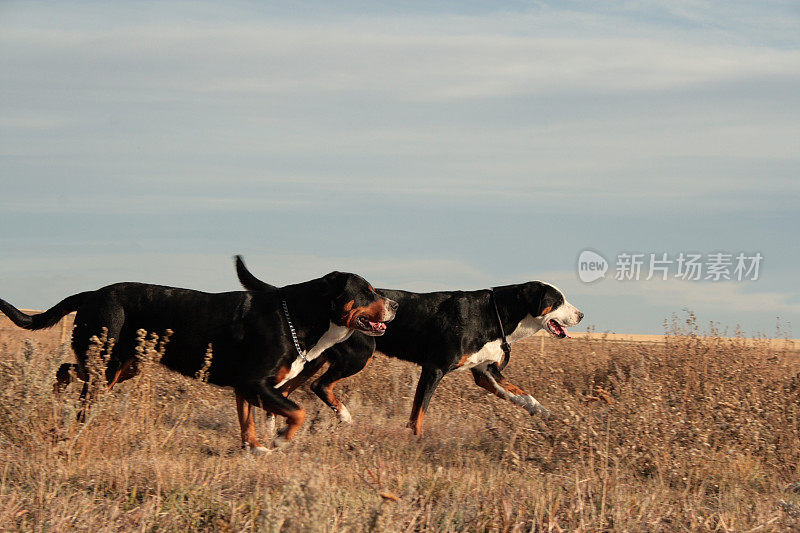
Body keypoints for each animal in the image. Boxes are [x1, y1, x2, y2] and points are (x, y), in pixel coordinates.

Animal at [0, 262, 396, 448]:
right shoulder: (255, 381)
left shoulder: (246, 388)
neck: (296, 318)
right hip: (106, 366)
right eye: (366, 291)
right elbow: (296, 412)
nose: (393, 305)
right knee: (79, 393)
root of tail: (92, 293)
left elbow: (249, 423)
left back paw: (55, 396)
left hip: (123, 366)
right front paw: (282, 439)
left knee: (66, 369)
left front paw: (255, 448)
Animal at [236, 256, 580, 436]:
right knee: (320, 386)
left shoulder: (486, 373)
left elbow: (525, 397)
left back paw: (273, 425)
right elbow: (419, 412)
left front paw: (552, 417)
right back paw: (343, 417)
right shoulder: (435, 368)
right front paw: (416, 440)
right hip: (358, 356)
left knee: (286, 389)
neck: (493, 315)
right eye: (558, 301)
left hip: (314, 360)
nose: (581, 314)